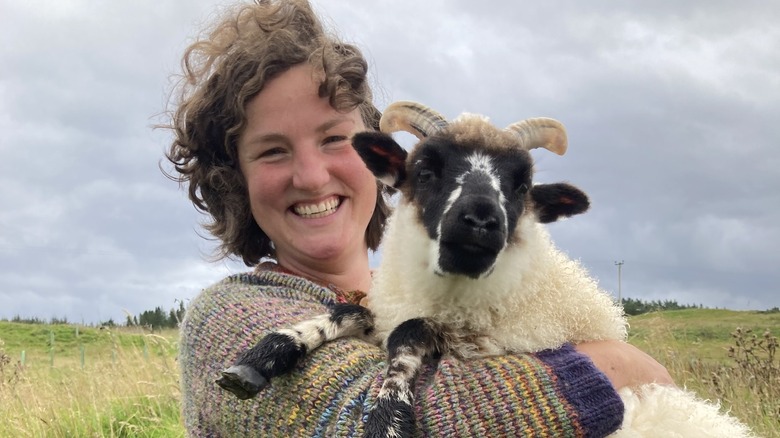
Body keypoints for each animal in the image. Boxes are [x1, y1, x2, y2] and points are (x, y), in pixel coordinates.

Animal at [216, 102, 752, 438]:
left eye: (522, 185)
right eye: (425, 169)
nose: (479, 219)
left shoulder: (485, 343)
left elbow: (408, 334)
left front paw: (386, 415)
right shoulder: (394, 310)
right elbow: (352, 313)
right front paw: (264, 355)